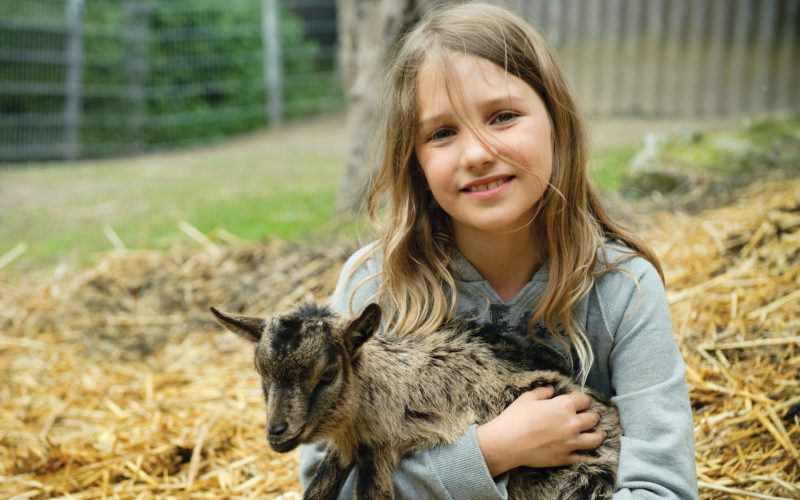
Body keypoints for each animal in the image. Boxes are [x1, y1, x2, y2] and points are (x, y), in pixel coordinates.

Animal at [209, 300, 620, 500]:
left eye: (327, 375)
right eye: (261, 374)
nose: (277, 431)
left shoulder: (377, 448)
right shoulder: (352, 447)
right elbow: (317, 488)